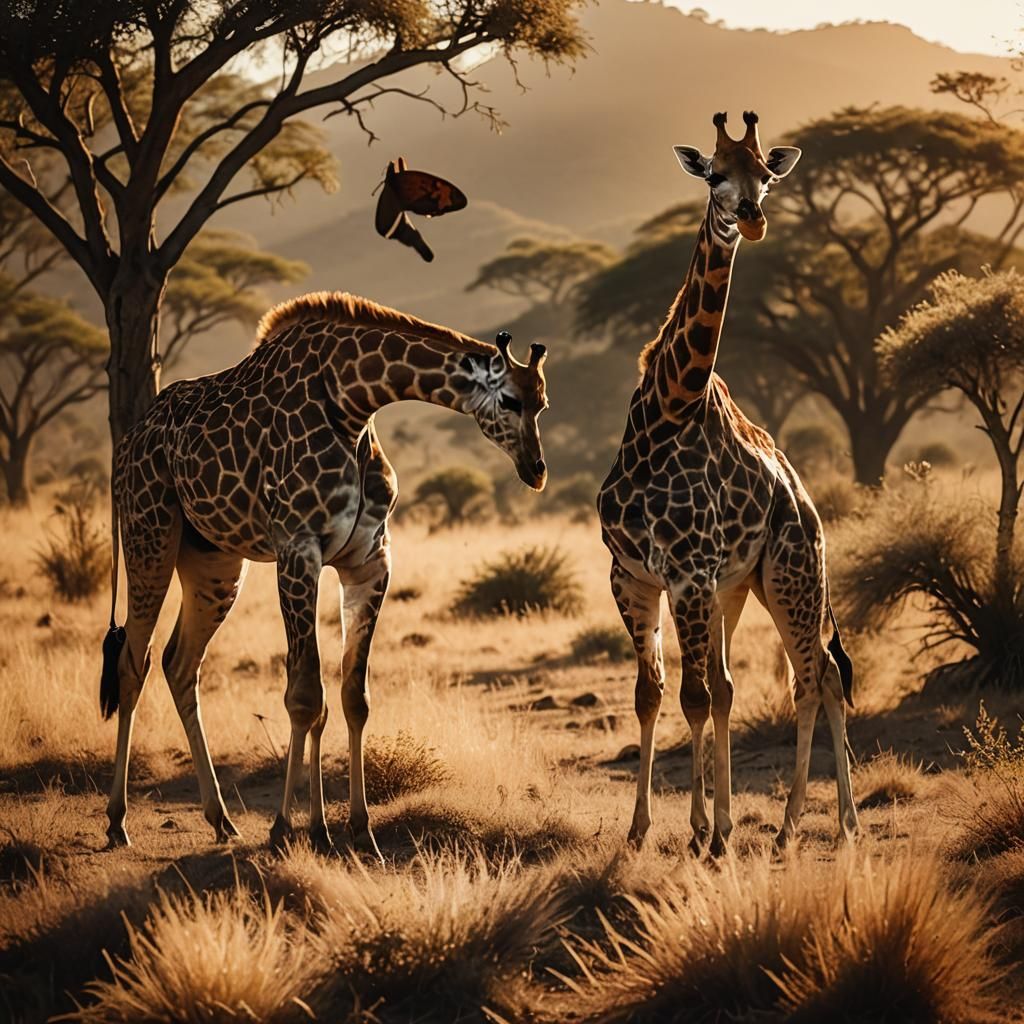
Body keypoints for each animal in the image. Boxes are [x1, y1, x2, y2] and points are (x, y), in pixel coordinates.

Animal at [99, 292, 549, 855]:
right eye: (509, 400)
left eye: (544, 403)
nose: (536, 469)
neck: (354, 401)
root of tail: (124, 446)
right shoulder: (298, 549)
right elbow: (305, 696)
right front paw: (284, 829)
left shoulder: (368, 561)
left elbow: (352, 698)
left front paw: (353, 829)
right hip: (150, 536)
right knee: (132, 663)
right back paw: (118, 821)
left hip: (213, 562)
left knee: (180, 664)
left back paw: (221, 820)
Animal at [597, 111, 858, 856]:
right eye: (713, 173)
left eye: (766, 176)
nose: (751, 218)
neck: (664, 415)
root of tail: (805, 498)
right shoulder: (633, 576)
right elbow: (656, 694)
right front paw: (649, 829)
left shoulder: (687, 575)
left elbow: (693, 696)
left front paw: (703, 832)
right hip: (739, 589)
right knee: (741, 683)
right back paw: (772, 823)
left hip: (792, 574)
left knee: (817, 678)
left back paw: (813, 825)